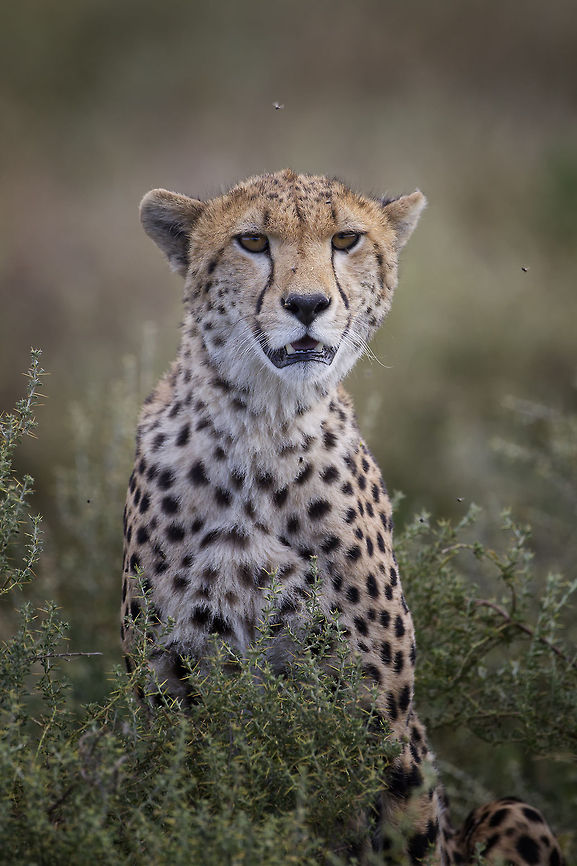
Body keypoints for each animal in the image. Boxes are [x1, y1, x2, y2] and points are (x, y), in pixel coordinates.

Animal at [120, 169, 564, 865]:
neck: (262, 429)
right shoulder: (169, 700)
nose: (307, 305)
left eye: (346, 239)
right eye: (252, 241)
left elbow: (406, 827)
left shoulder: (376, 713)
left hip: (513, 812)